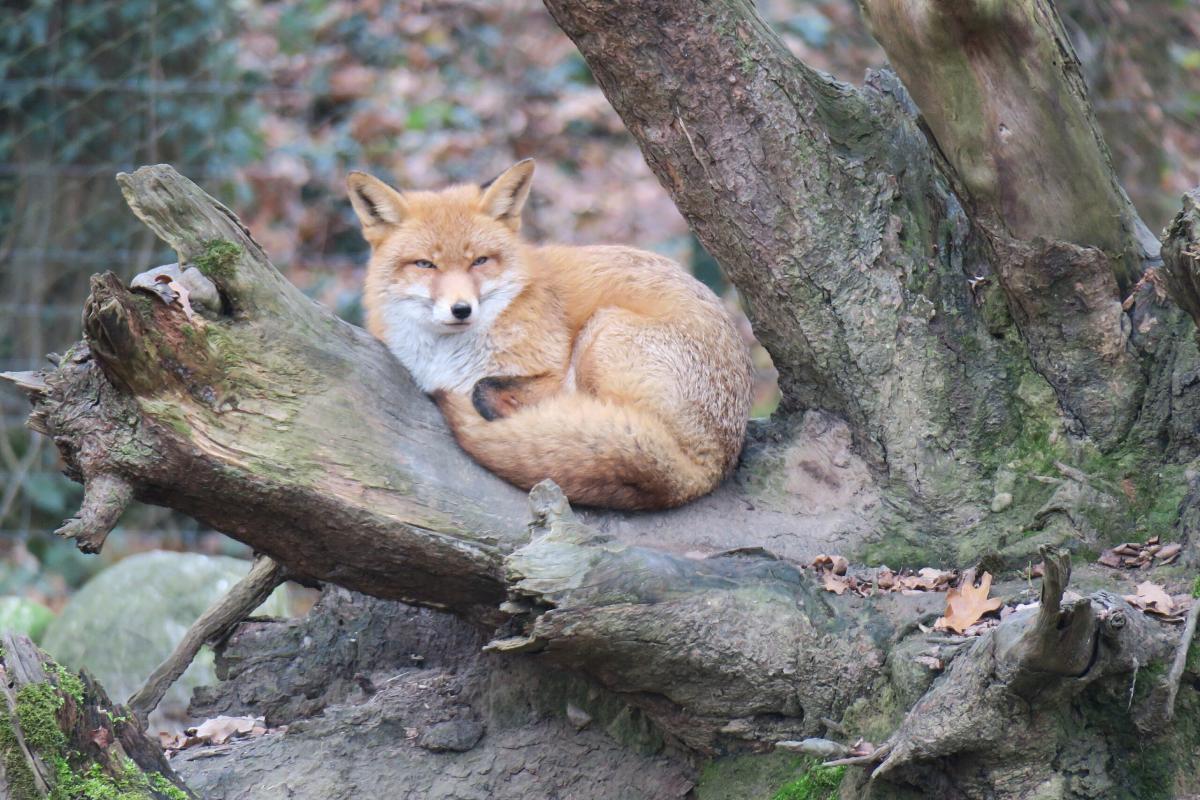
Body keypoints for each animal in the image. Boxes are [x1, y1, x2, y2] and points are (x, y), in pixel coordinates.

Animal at [348, 160, 753, 510]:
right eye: (425, 264)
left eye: (479, 261)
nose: (461, 309)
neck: (446, 357)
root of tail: (704, 471)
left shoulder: (553, 374)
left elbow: (483, 389)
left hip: (602, 334)